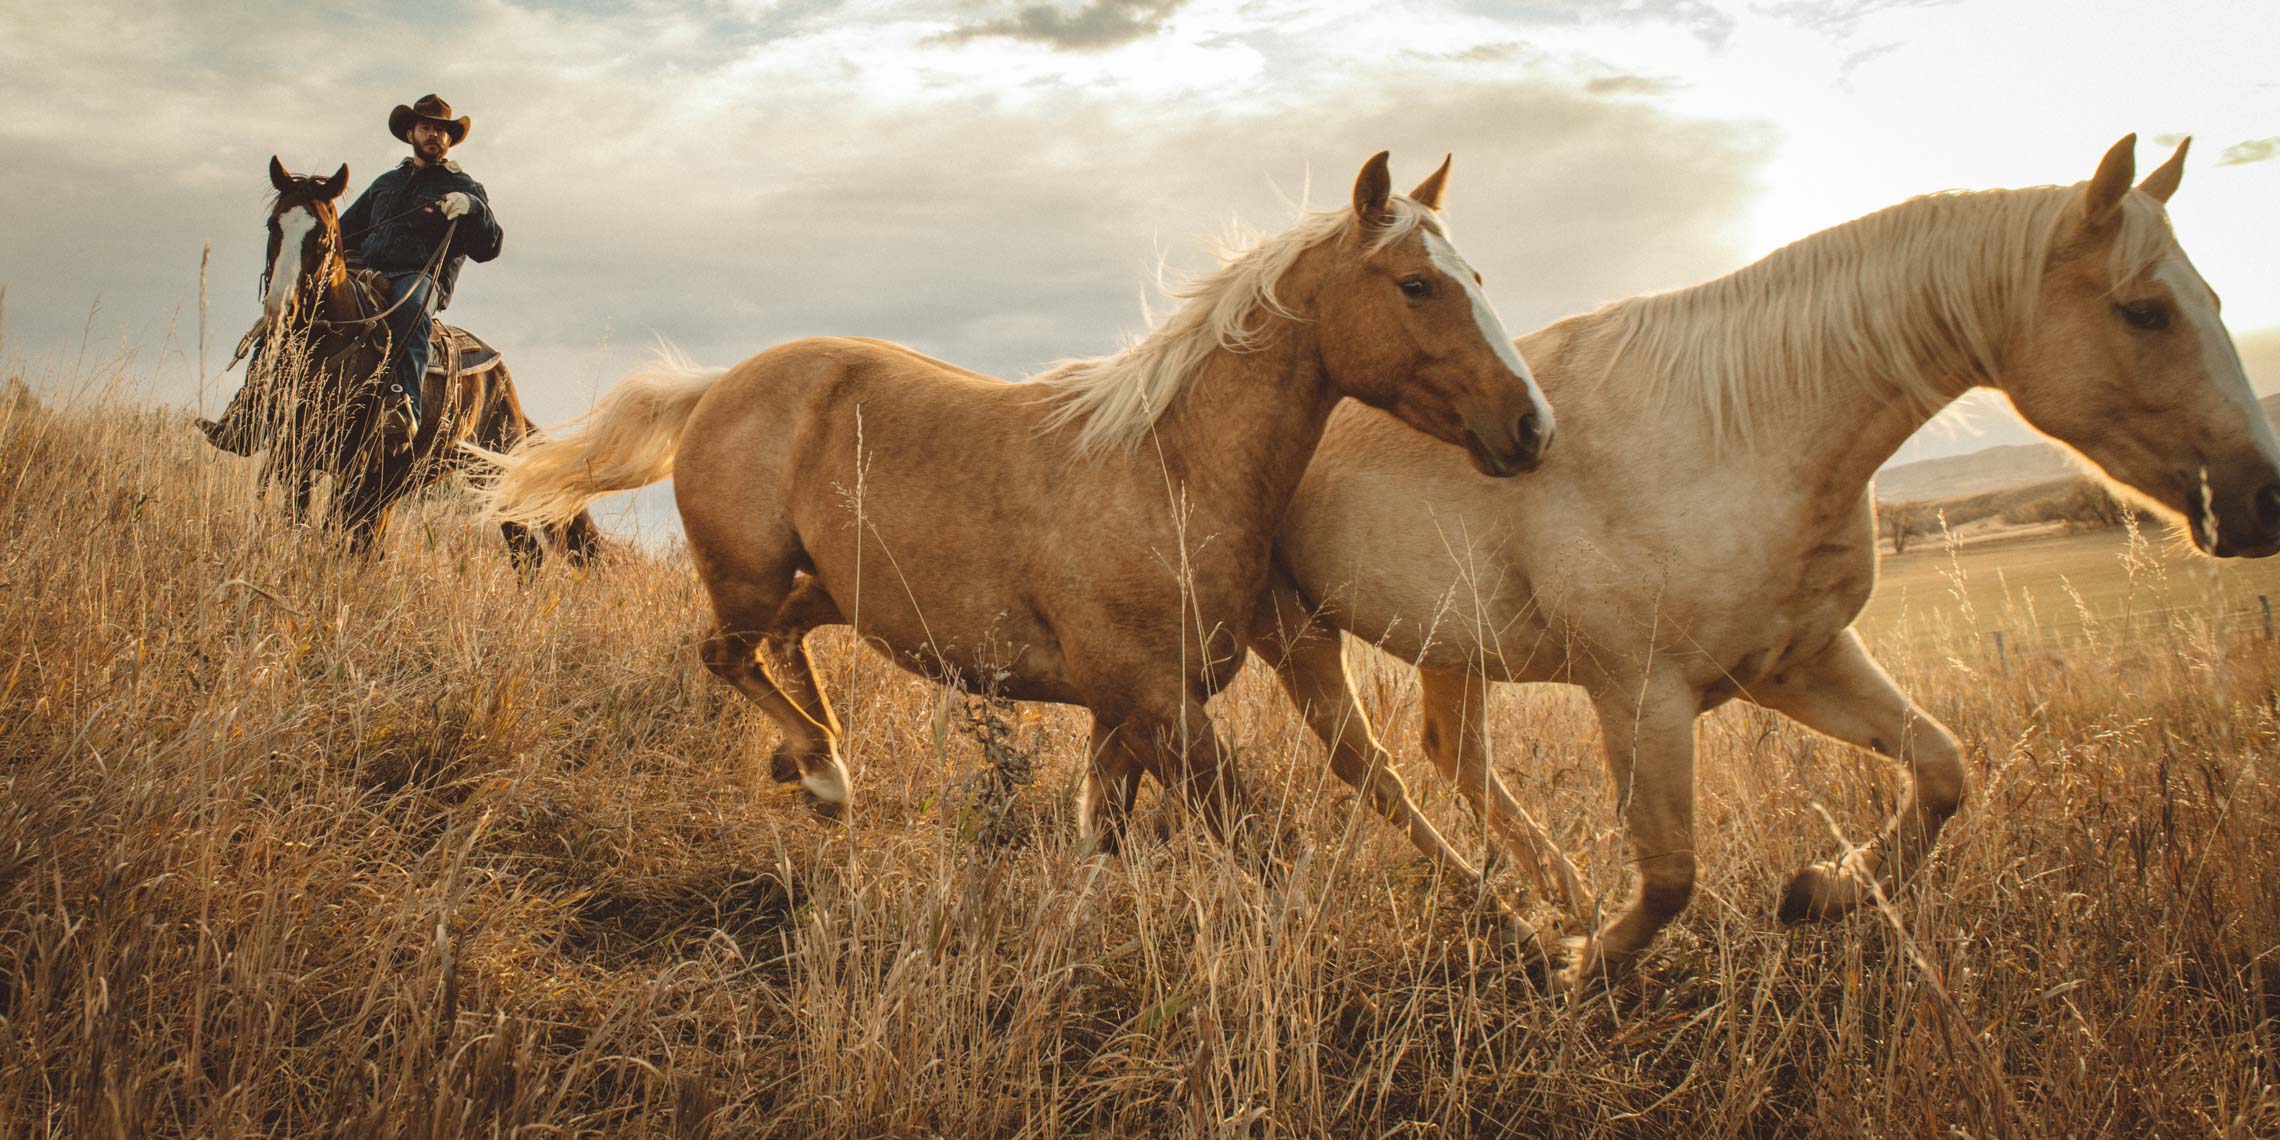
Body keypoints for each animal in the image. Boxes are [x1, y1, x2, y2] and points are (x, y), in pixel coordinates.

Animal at [197, 156, 600, 565]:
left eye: (321, 236)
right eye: (273, 225)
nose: (282, 310)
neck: (329, 345)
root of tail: (503, 380)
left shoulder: (351, 465)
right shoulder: (291, 454)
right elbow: (299, 521)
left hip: (488, 472)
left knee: (526, 553)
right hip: (402, 477)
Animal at [479, 153, 1555, 902]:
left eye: (1476, 277)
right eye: (1417, 284)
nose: (1532, 425)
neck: (1169, 470)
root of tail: (716, 386)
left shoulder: (1126, 715)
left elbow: (1103, 841)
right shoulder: (1160, 710)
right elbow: (1260, 849)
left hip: (833, 589)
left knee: (784, 640)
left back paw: (811, 757)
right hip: (747, 576)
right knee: (725, 652)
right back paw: (824, 776)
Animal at [1256, 134, 2280, 989]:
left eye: (2214, 302)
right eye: (2144, 312)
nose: (2261, 499)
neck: (1739, 431)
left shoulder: (1796, 663)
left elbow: (1942, 770)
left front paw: (1822, 891)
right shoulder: (1642, 693)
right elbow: (1672, 873)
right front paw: (1592, 972)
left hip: (1450, 646)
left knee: (1456, 756)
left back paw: (1562, 900)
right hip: (1298, 636)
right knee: (1371, 765)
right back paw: (1526, 917)